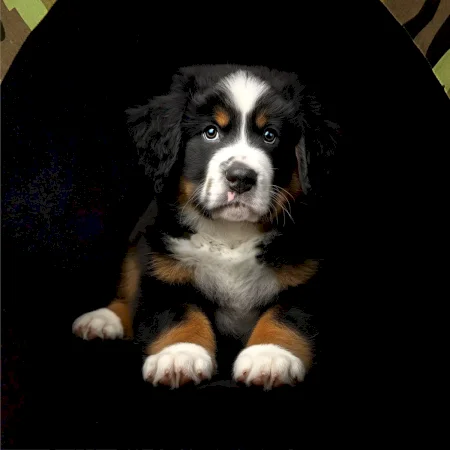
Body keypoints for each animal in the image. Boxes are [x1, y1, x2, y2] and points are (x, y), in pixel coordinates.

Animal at [72, 64, 339, 390]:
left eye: (270, 136)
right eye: (211, 132)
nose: (241, 177)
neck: (231, 234)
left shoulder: (306, 276)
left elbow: (286, 316)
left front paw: (269, 356)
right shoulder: (163, 268)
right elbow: (178, 313)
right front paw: (179, 355)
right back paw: (103, 319)